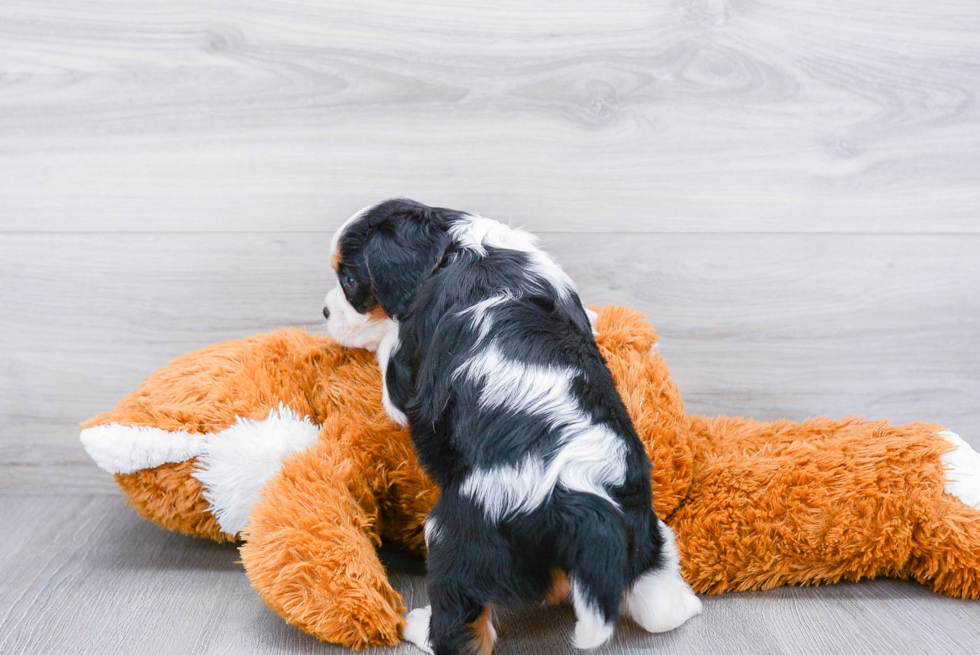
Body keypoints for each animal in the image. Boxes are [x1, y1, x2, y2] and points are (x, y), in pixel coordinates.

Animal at [326, 200, 700, 655]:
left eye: (349, 281)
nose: (325, 312)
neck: (460, 247)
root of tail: (578, 503)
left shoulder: (404, 366)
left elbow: (389, 362)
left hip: (456, 539)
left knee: (461, 628)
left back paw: (418, 627)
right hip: (643, 528)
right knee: (658, 603)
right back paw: (683, 605)